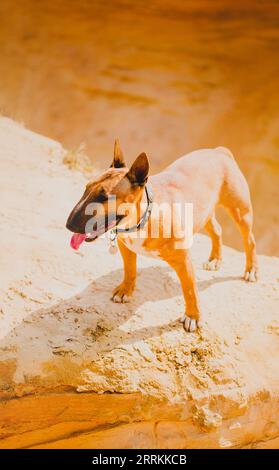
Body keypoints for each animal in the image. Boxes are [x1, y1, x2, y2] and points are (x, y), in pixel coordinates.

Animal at [66, 141, 258, 332]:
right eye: (86, 188)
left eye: (104, 196)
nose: (68, 225)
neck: (143, 219)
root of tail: (219, 152)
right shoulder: (125, 246)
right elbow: (129, 270)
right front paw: (125, 291)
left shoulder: (183, 262)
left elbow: (190, 290)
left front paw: (193, 317)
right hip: (204, 211)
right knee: (217, 230)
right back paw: (215, 259)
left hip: (240, 211)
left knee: (249, 240)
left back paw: (251, 270)